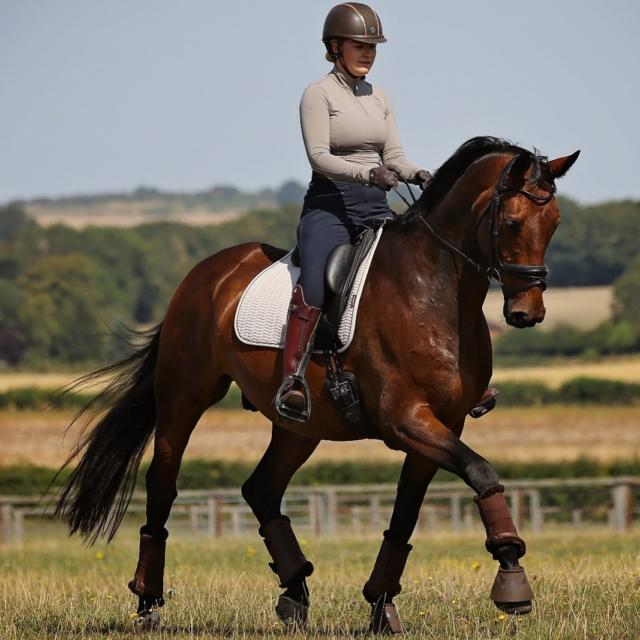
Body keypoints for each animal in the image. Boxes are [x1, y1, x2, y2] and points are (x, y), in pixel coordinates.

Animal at [55, 136, 579, 634]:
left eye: (554, 223)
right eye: (512, 222)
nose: (528, 313)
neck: (434, 289)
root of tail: (205, 273)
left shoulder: (442, 424)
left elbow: (405, 515)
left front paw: (381, 605)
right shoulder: (406, 419)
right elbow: (482, 472)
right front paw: (512, 576)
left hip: (299, 426)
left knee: (261, 489)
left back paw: (294, 592)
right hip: (184, 398)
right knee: (162, 485)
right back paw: (147, 602)